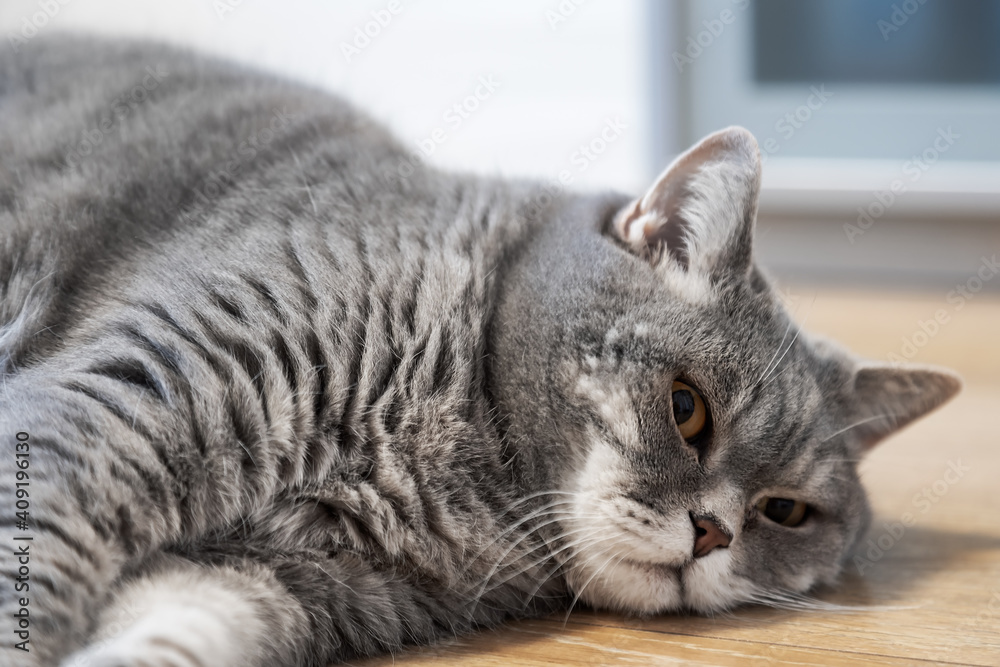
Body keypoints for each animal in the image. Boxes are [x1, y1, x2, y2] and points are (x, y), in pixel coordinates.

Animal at [0, 37, 960, 667]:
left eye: (784, 512)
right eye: (688, 408)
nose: (714, 531)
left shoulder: (275, 578)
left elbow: (181, 634)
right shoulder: (127, 409)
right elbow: (36, 562)